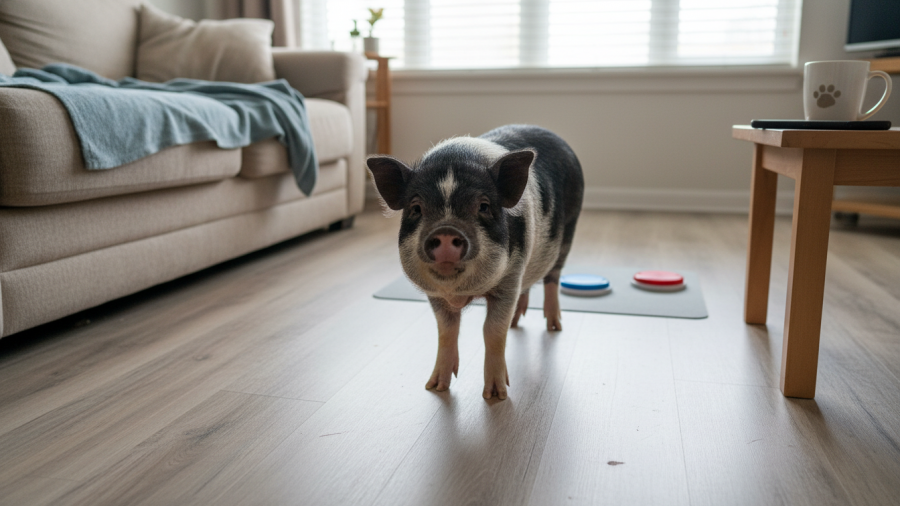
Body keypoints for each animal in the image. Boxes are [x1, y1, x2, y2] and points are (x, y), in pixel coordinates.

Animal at [366, 124, 584, 400]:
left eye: (483, 206)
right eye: (416, 208)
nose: (446, 230)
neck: (460, 293)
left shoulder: (508, 280)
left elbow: (492, 331)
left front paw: (496, 396)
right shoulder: (435, 295)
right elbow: (446, 330)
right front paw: (435, 387)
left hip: (569, 230)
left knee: (552, 278)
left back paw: (554, 326)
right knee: (528, 285)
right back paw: (517, 321)